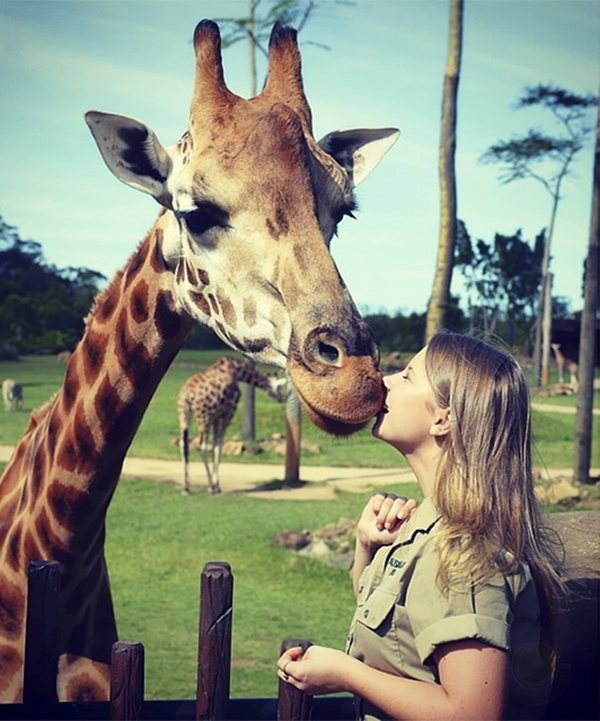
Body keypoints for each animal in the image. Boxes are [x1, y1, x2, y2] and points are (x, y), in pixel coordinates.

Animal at [177, 356, 284, 496]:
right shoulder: (228, 412)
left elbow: (215, 446)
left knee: (183, 444)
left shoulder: (217, 416)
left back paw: (186, 488)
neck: (238, 372)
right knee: (201, 445)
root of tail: (187, 395)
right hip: (204, 418)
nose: (282, 399)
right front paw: (216, 486)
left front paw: (216, 485)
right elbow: (218, 446)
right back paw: (209, 487)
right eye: (278, 388)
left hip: (183, 416)